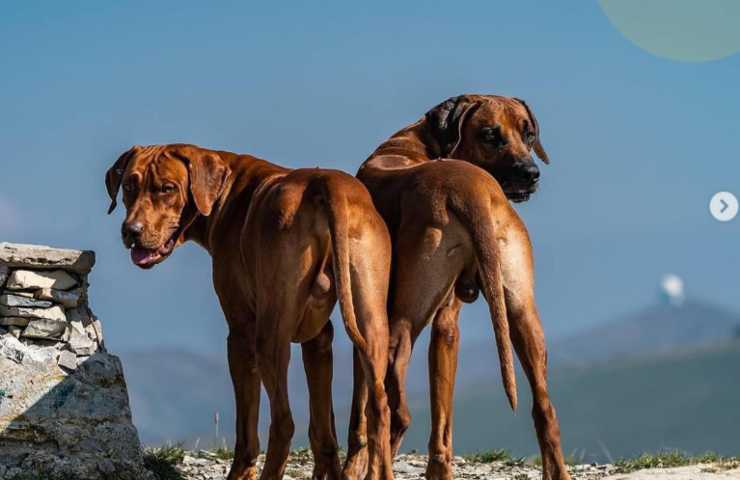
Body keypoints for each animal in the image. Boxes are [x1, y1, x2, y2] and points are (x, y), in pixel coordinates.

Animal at [105, 144, 396, 480]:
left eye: (167, 188)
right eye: (129, 185)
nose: (131, 231)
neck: (225, 191)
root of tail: (326, 183)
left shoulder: (240, 334)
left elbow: (246, 432)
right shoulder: (319, 340)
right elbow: (323, 433)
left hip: (268, 338)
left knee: (283, 422)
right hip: (372, 323)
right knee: (379, 407)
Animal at [348, 94, 572, 480]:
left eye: (528, 134)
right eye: (490, 135)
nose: (530, 173)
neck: (424, 141)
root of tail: (472, 189)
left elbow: (358, 411)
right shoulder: (448, 325)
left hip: (401, 320)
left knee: (396, 409)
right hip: (523, 316)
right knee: (545, 409)